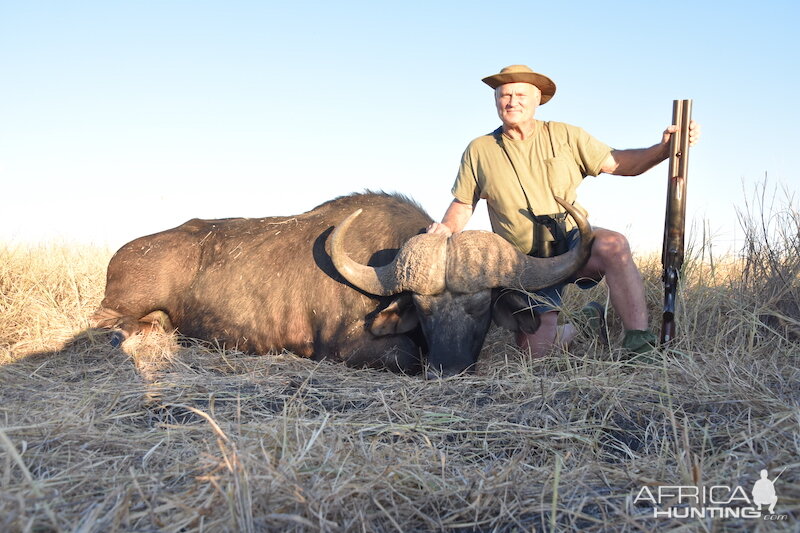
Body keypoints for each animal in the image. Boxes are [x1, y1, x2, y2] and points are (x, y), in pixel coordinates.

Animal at [94, 191, 592, 374]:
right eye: (422, 307)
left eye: (482, 305)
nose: (447, 368)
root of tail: (125, 252)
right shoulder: (348, 348)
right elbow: (406, 356)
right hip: (120, 304)